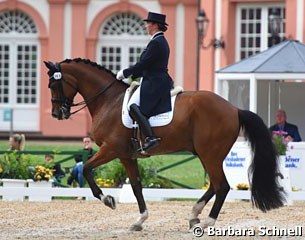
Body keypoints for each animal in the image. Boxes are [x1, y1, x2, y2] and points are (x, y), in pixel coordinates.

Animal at [43, 57, 284, 231]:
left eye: (54, 84)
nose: (57, 114)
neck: (109, 101)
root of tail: (234, 109)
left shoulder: (110, 149)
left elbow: (86, 168)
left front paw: (108, 199)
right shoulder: (126, 155)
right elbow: (136, 186)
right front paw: (139, 220)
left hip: (210, 154)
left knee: (222, 186)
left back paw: (207, 222)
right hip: (205, 154)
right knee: (214, 186)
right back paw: (194, 215)